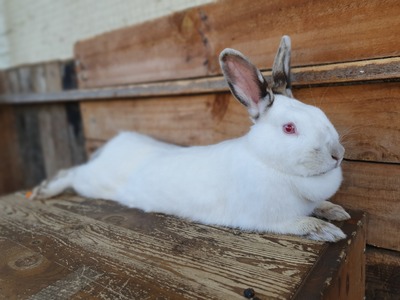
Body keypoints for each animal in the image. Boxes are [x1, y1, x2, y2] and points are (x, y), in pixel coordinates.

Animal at [32, 35, 350, 241]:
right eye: (289, 128)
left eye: (319, 113)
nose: (338, 154)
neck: (269, 164)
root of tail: (113, 145)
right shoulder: (272, 219)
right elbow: (301, 223)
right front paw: (329, 231)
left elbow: (321, 206)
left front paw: (337, 212)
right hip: (91, 181)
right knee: (71, 172)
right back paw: (42, 191)